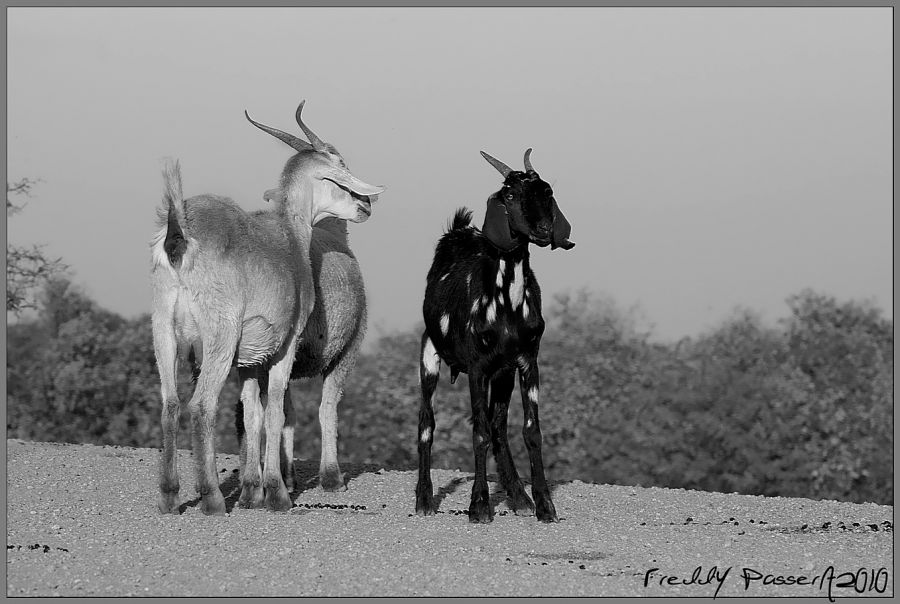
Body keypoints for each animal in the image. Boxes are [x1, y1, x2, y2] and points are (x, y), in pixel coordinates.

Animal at [149, 100, 386, 516]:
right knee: (202, 406)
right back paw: (212, 499)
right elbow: (276, 411)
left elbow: (252, 414)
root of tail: (180, 236)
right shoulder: (285, 345)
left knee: (171, 403)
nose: (364, 206)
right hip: (219, 337)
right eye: (338, 168)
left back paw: (169, 496)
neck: (290, 237)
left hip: (163, 330)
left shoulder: (249, 360)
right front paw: (275, 493)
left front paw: (251, 492)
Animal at [416, 147, 576, 524]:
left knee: (499, 426)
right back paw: (424, 500)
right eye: (510, 196)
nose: (543, 230)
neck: (507, 305)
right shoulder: (477, 366)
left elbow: (530, 430)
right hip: (429, 354)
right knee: (427, 422)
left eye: (547, 191)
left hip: (502, 374)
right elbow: (479, 431)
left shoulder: (526, 361)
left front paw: (544, 505)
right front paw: (478, 506)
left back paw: (519, 497)